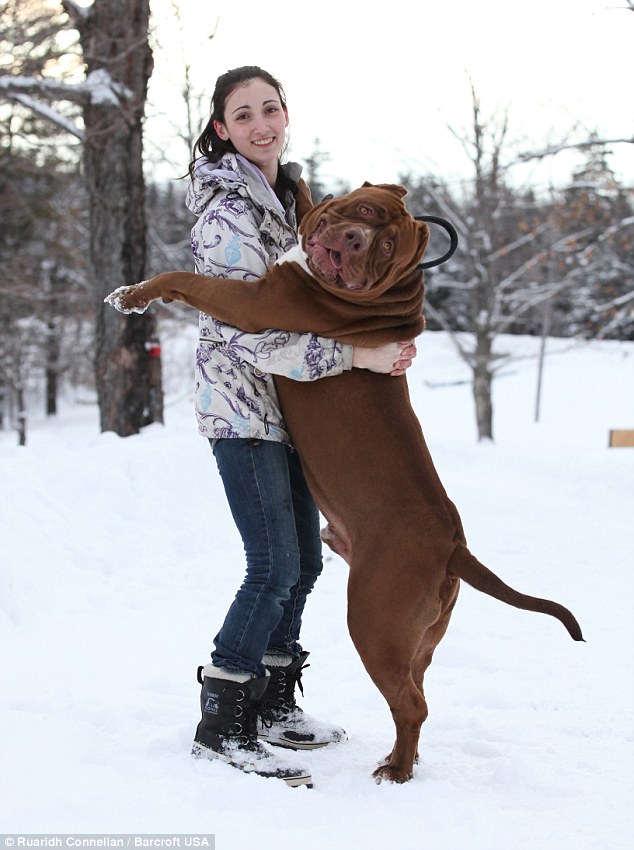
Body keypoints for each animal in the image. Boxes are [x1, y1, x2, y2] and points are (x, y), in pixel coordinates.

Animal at [105, 182, 584, 780]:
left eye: (386, 247)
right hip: (419, 638)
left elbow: (185, 279)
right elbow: (301, 202)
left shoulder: (253, 303)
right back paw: (400, 758)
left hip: (375, 621)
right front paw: (298, 183)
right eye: (365, 211)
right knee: (416, 690)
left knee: (411, 702)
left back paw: (395, 772)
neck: (391, 292)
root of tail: (454, 546)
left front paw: (133, 294)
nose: (356, 239)